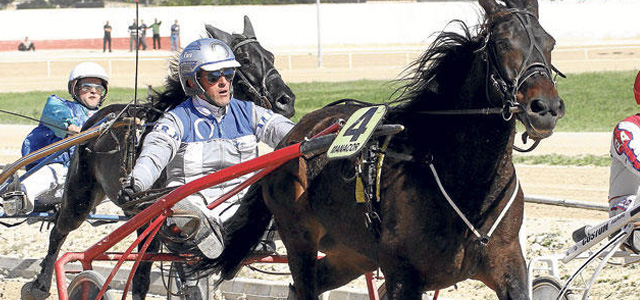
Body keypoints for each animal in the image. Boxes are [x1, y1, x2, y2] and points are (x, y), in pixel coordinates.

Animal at [21, 15, 296, 300]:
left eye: (271, 56)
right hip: (81, 194)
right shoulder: (161, 213)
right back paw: (40, 284)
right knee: (59, 231)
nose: (286, 100)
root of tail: (97, 120)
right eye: (245, 59)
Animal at [200, 0, 564, 298]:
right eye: (503, 42)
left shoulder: (508, 265)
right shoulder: (404, 277)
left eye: (550, 43)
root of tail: (295, 137)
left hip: (350, 252)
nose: (544, 107)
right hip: (299, 238)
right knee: (304, 284)